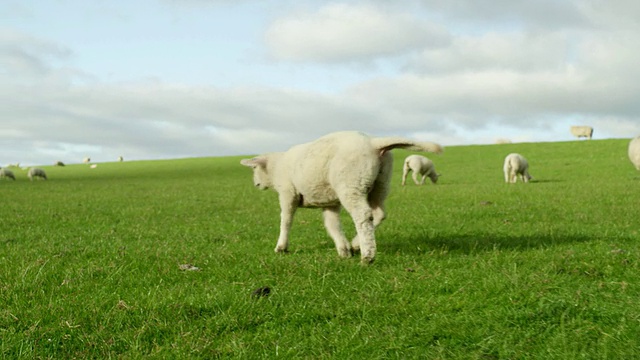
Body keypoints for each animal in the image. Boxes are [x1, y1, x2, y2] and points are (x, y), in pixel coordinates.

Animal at [238, 131, 442, 264]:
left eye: (254, 168)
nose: (256, 185)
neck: (276, 168)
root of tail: (373, 144)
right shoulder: (329, 202)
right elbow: (332, 225)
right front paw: (343, 249)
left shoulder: (288, 193)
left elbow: (286, 221)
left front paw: (281, 247)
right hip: (380, 183)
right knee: (378, 213)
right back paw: (357, 244)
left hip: (351, 183)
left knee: (363, 215)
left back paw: (368, 255)